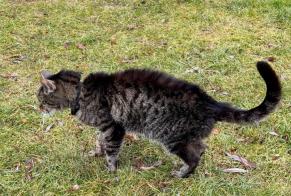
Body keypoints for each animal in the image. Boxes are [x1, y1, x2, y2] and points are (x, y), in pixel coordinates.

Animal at [37, 61, 282, 178]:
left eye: (40, 97)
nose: (37, 107)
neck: (80, 94)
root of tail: (211, 103)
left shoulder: (114, 127)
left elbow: (111, 150)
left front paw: (111, 170)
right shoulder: (105, 128)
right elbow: (99, 141)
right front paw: (97, 152)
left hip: (172, 137)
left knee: (195, 155)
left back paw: (183, 174)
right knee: (201, 147)